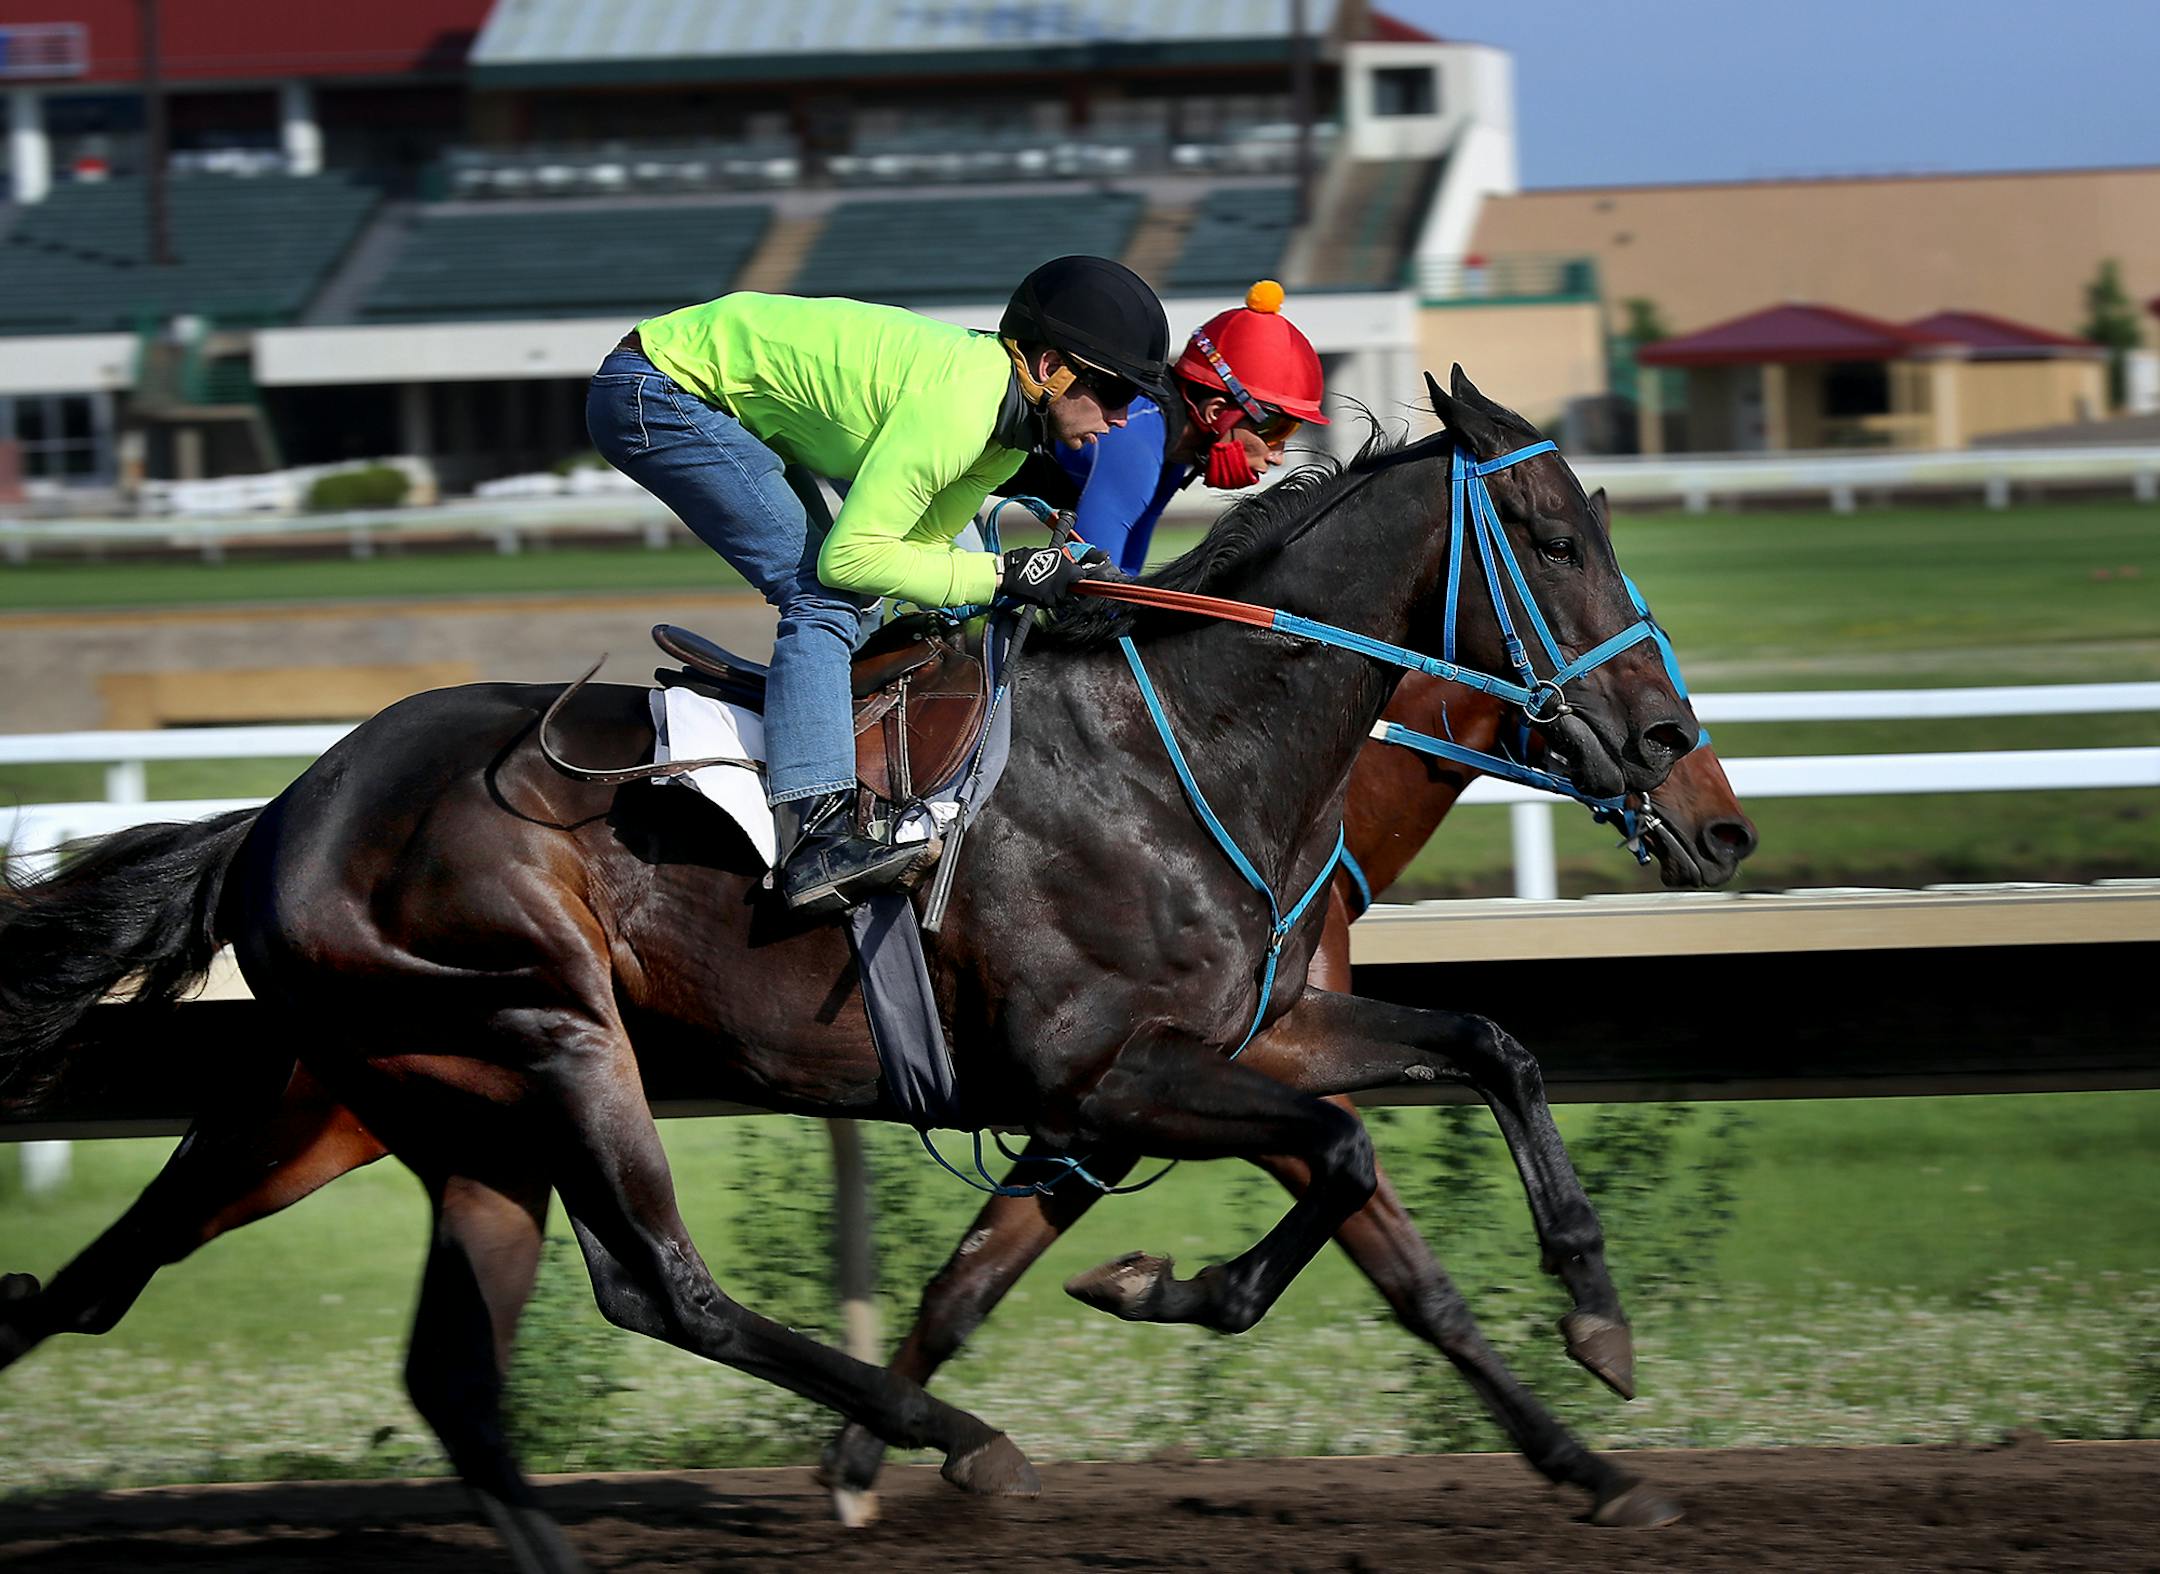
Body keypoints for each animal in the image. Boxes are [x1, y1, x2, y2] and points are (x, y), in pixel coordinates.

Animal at [0, 369, 1697, 1568]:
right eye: (1557, 539)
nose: (1682, 763)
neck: (1175, 751)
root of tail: (284, 807)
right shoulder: (1098, 1071)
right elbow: (1343, 1155)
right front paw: (1173, 1286)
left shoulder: (1251, 1033)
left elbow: (1477, 1065)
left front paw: (1595, 1390)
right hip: (551, 1031)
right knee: (657, 1282)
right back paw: (952, 1432)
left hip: (384, 1101)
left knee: (251, 1311)